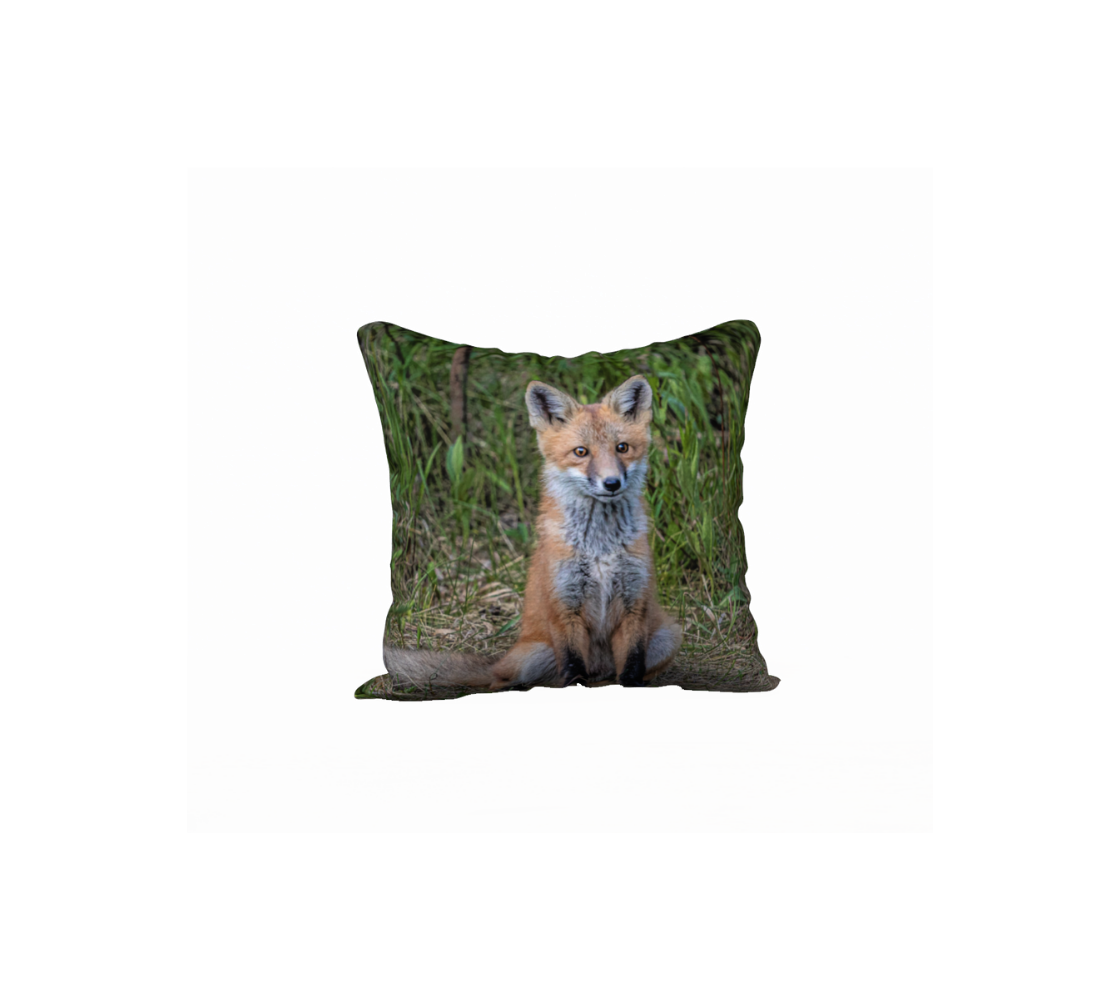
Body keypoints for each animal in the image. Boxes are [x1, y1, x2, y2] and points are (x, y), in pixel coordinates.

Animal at [383, 373, 683, 693]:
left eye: (622, 448)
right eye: (581, 452)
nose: (612, 483)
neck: (599, 546)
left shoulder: (634, 603)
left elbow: (631, 667)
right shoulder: (564, 606)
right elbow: (573, 668)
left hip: (667, 637)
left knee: (614, 674)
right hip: (534, 656)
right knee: (506, 680)